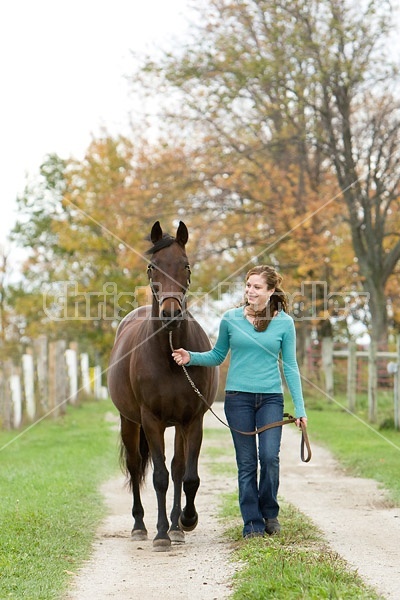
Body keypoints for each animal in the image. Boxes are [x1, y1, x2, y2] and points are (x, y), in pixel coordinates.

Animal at [107, 223, 219, 552]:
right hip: (129, 422)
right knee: (135, 467)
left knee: (179, 468)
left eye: (186, 266)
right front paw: (159, 534)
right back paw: (140, 526)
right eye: (152, 267)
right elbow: (159, 476)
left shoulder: (193, 420)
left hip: (177, 426)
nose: (171, 315)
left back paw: (176, 526)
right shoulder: (151, 420)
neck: (169, 355)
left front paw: (185, 521)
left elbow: (188, 475)